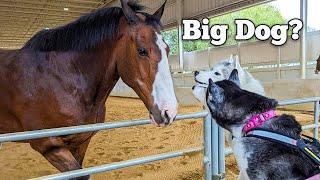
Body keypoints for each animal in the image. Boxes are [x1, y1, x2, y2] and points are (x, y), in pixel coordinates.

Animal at [0, 0, 178, 179]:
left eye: (167, 49)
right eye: (142, 50)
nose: (169, 112)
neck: (61, 79)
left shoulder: (81, 141)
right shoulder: (48, 145)